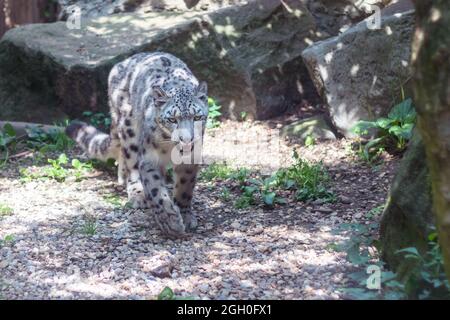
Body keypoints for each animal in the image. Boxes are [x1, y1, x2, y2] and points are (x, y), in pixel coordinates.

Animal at [66, 52, 209, 238]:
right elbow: (155, 190)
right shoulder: (149, 158)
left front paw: (184, 216)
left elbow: (185, 187)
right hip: (129, 127)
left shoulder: (190, 158)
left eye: (197, 117)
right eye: (172, 119)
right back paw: (137, 193)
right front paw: (170, 222)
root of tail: (122, 63)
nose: (187, 139)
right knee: (131, 162)